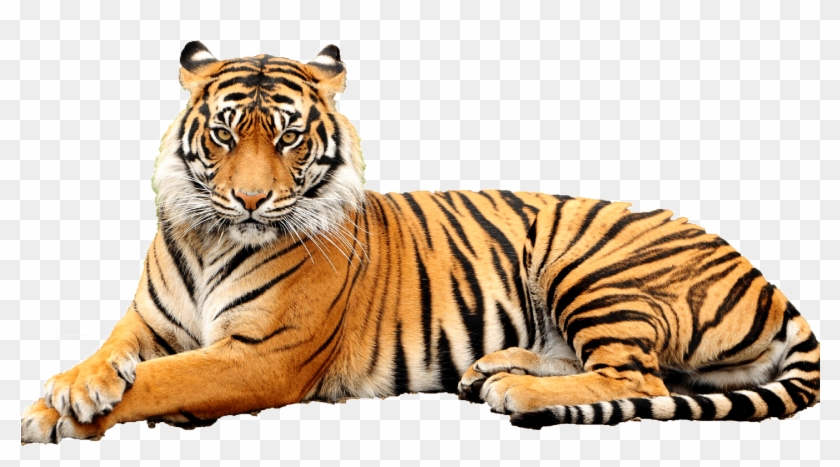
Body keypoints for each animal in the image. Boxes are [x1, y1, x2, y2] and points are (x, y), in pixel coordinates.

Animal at [21, 41, 820, 444]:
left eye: (287, 137)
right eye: (224, 133)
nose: (250, 199)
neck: (212, 236)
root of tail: (768, 280)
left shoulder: (261, 356)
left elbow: (165, 380)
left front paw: (59, 414)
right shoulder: (148, 322)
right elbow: (114, 354)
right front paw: (72, 387)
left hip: (592, 264)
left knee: (641, 378)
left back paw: (517, 389)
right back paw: (493, 368)